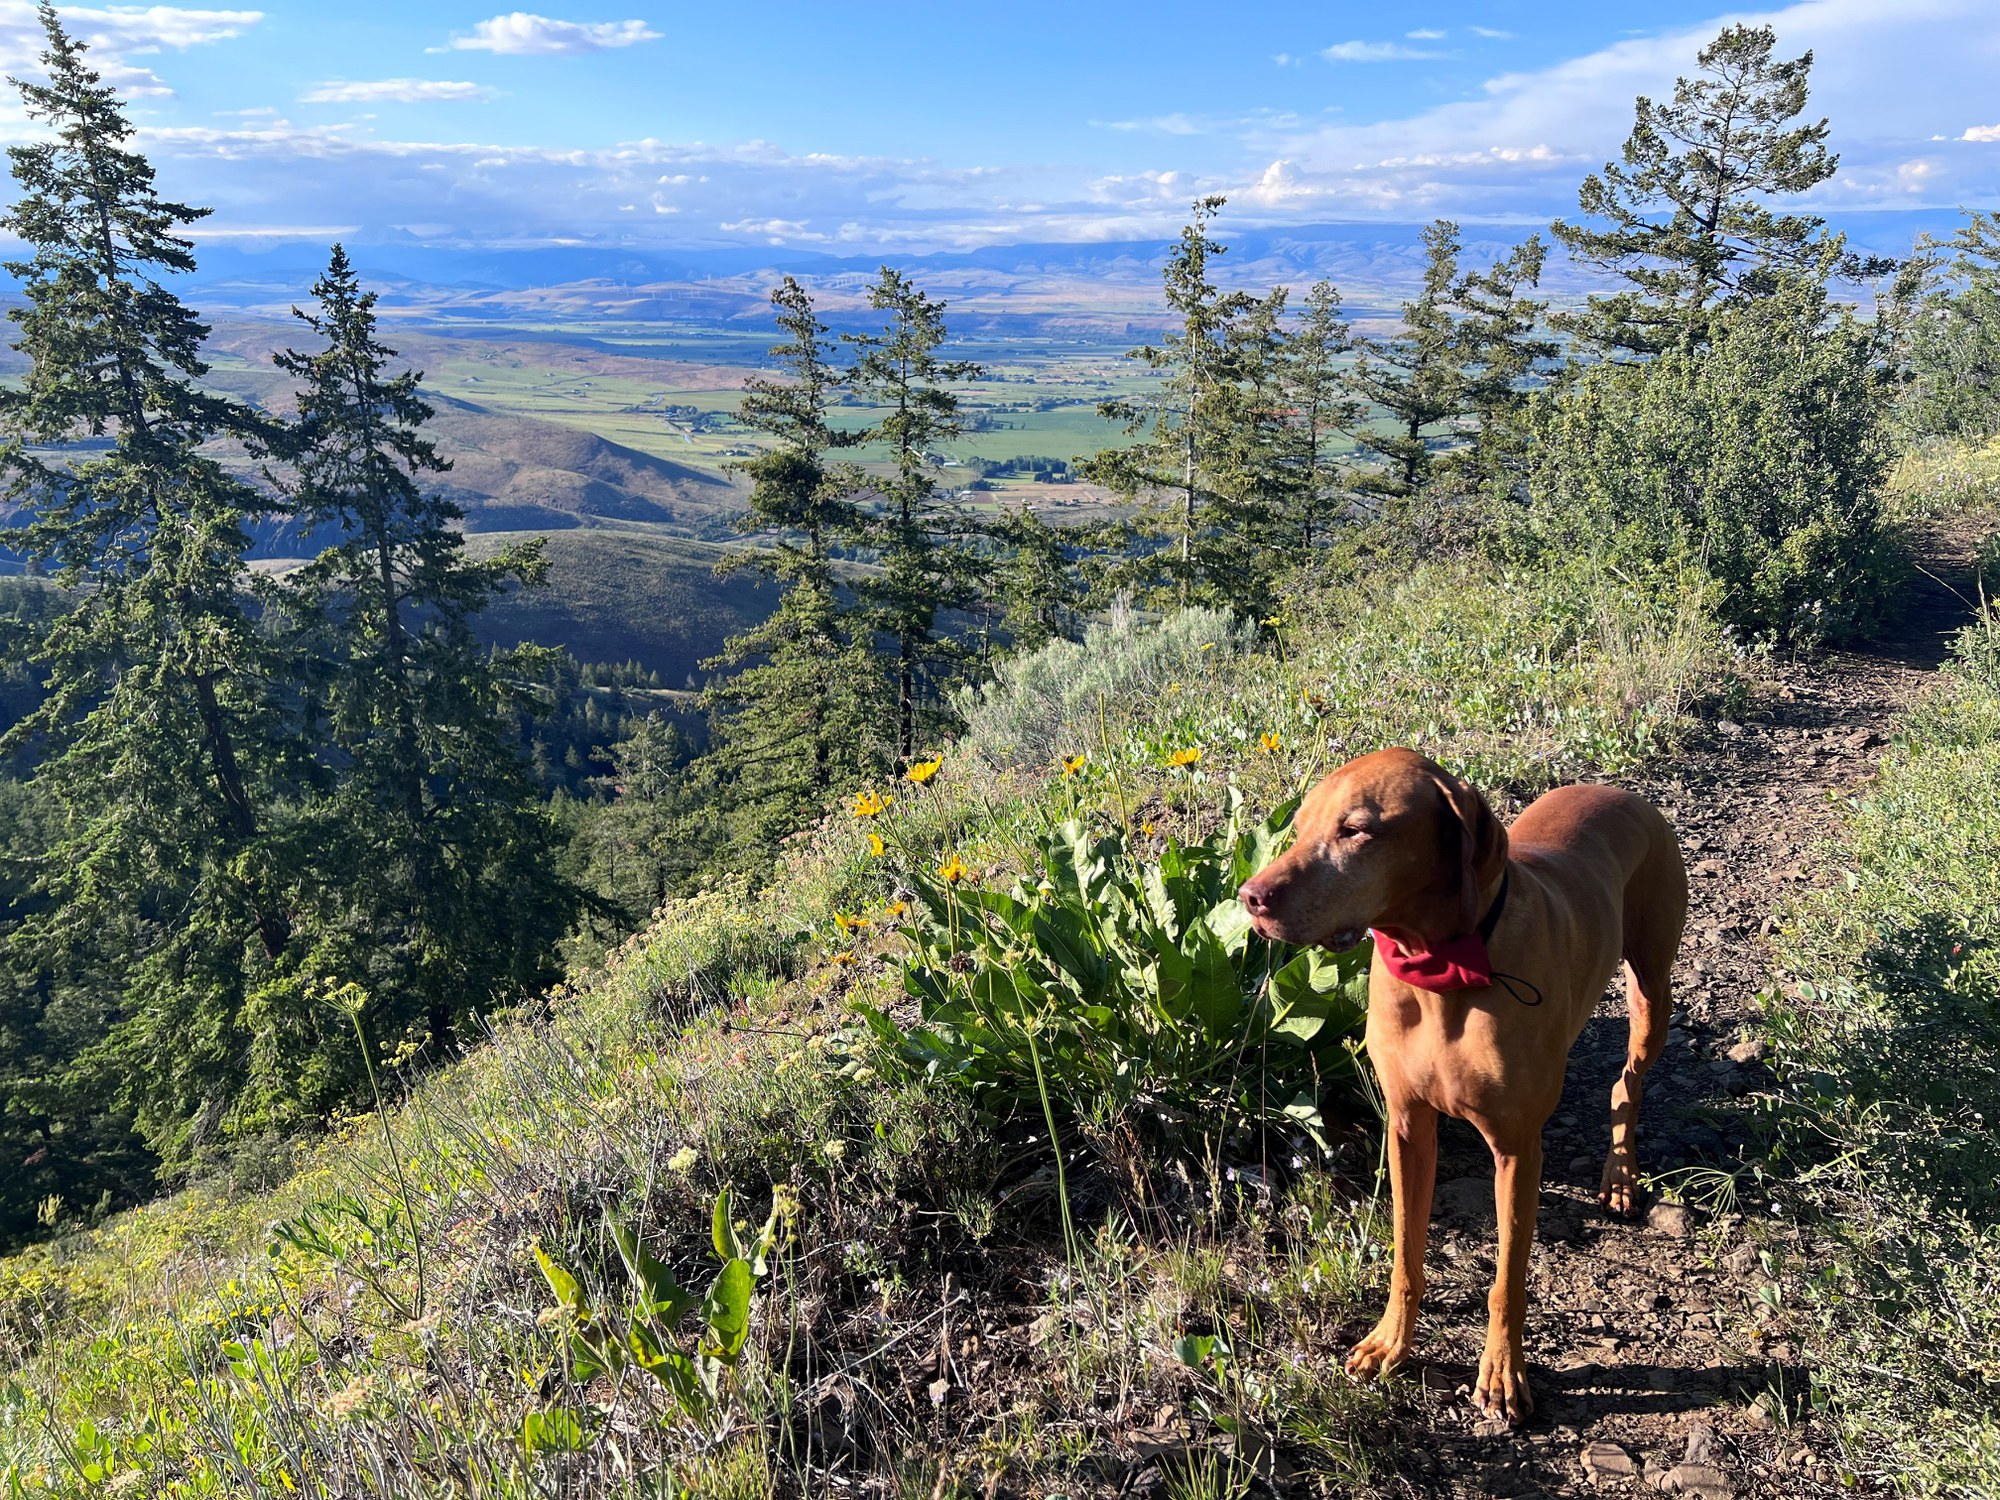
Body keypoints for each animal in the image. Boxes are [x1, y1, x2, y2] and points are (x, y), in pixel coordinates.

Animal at [1240, 748, 1680, 1424]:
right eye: (1298, 826)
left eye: (1357, 829)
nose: (1250, 897)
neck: (1440, 972)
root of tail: (1623, 793)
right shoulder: (1407, 1128)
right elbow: (1405, 1253)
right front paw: (1390, 1343)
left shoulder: (1517, 1150)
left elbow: (1507, 1281)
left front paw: (1501, 1374)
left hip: (1652, 990)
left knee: (1626, 1084)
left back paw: (1621, 1178)